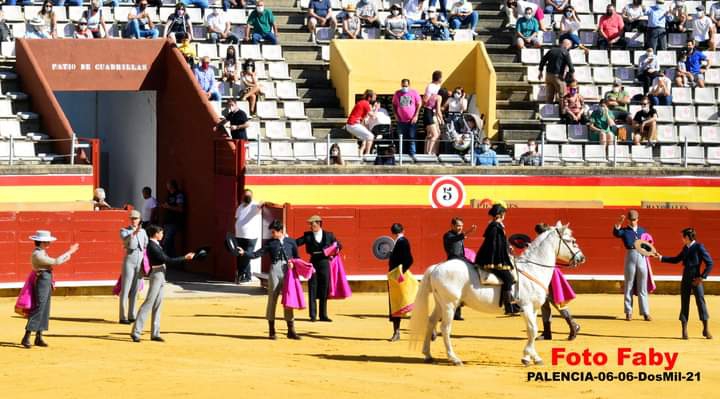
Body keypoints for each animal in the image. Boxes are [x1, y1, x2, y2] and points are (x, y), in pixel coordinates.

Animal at [410, 223, 584, 368]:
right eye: (572, 241)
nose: (581, 258)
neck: (533, 269)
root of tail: (437, 267)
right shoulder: (526, 306)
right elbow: (533, 330)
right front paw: (527, 358)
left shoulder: (534, 309)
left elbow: (532, 330)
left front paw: (533, 357)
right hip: (449, 304)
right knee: (445, 328)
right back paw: (454, 358)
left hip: (440, 303)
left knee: (431, 322)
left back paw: (428, 354)